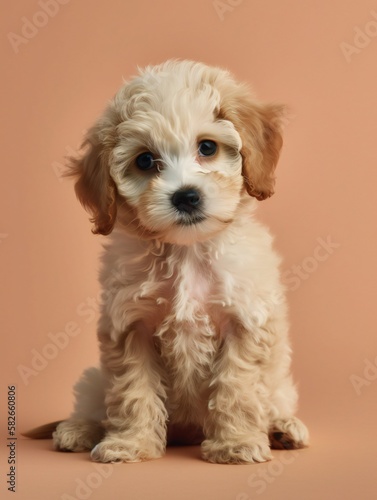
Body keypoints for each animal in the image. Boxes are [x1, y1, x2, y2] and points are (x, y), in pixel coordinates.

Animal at [50, 59, 308, 464]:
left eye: (207, 147)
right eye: (144, 160)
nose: (186, 196)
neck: (186, 251)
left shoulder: (245, 319)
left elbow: (238, 388)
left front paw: (235, 444)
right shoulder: (130, 324)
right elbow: (133, 391)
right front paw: (130, 444)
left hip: (279, 381)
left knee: (277, 400)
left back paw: (284, 428)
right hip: (94, 378)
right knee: (94, 401)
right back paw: (77, 429)